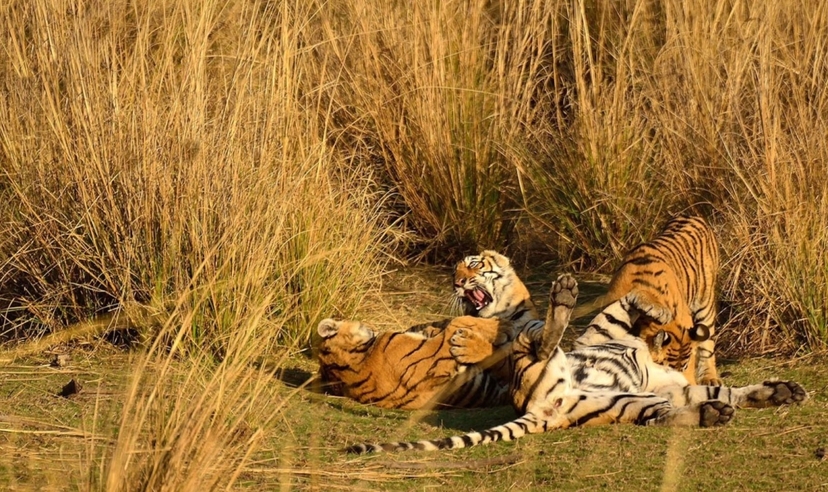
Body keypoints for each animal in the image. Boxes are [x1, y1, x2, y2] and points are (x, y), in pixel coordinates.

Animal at [345, 274, 807, 453]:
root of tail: (542, 410)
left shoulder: (673, 387)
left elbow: (725, 388)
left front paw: (781, 391)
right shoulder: (609, 325)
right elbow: (633, 300)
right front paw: (657, 313)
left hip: (628, 404)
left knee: (664, 416)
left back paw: (713, 414)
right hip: (543, 367)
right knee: (541, 342)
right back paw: (564, 296)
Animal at [572, 215, 721, 385]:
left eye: (684, 368)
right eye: (669, 371)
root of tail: (692, 216)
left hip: (705, 303)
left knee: (708, 343)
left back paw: (710, 378)